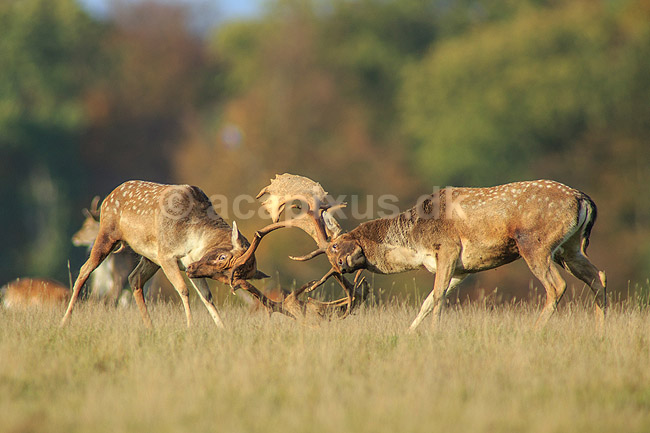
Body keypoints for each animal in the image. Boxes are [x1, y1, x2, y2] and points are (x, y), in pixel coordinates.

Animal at [61, 180, 270, 329]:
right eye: (223, 258)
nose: (192, 269)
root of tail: (108, 197)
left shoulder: (188, 262)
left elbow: (206, 296)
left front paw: (222, 328)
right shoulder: (167, 255)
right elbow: (183, 289)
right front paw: (190, 326)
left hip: (149, 257)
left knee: (134, 279)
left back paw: (150, 327)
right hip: (109, 234)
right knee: (84, 270)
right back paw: (65, 320)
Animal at [232, 175, 607, 331]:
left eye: (336, 248)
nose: (338, 266)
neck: (414, 242)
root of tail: (584, 199)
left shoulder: (449, 250)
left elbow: (435, 297)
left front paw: (428, 334)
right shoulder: (462, 268)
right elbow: (431, 301)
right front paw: (416, 334)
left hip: (536, 244)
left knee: (557, 286)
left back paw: (534, 331)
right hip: (570, 248)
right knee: (598, 277)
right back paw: (600, 334)